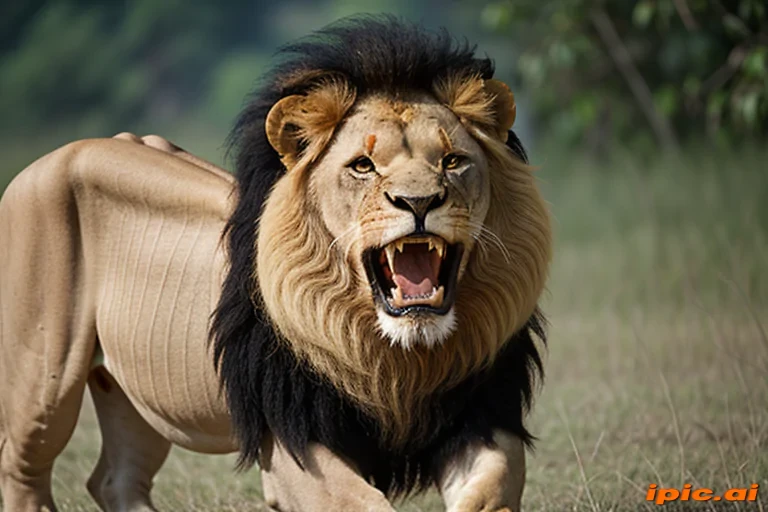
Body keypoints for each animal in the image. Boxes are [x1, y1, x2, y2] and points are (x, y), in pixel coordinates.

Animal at [0, 17, 551, 512]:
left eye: (453, 161)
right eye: (363, 166)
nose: (419, 201)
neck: (399, 357)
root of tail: (47, 160)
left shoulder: (483, 413)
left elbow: (489, 493)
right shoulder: (293, 442)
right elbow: (363, 504)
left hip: (134, 394)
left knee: (116, 479)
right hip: (43, 383)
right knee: (22, 470)